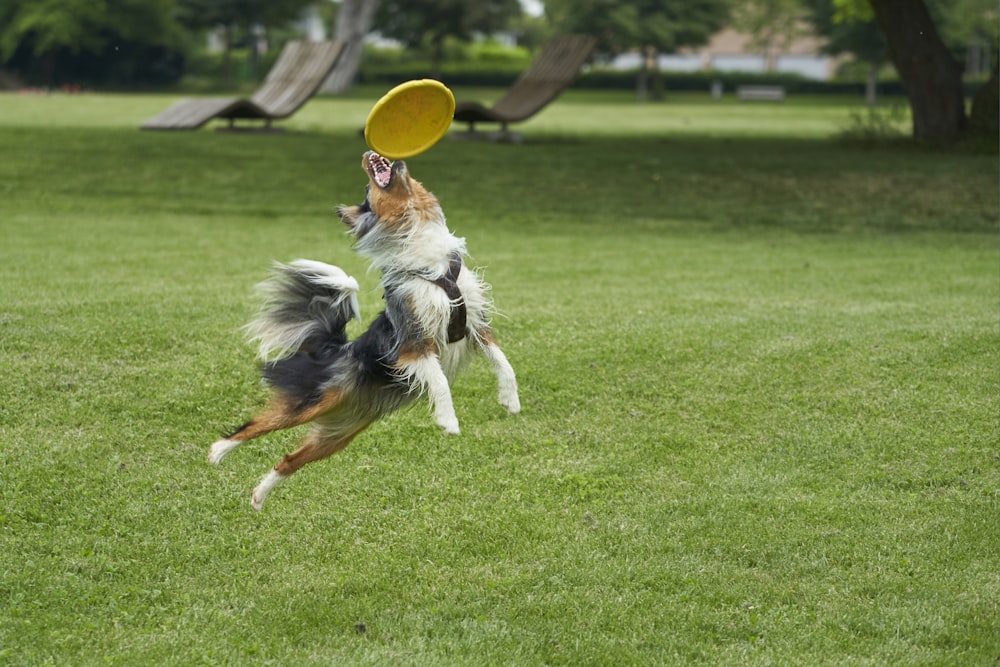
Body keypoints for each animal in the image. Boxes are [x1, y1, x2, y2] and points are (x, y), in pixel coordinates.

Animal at [207, 151, 520, 508]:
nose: (379, 155)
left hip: (339, 433)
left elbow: (504, 363)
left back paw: (259, 496)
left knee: (289, 459)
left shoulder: (476, 325)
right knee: (257, 423)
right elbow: (440, 381)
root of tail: (336, 348)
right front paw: (448, 420)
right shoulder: (413, 342)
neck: (431, 261)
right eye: (367, 190)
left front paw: (510, 400)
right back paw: (218, 451)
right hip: (314, 400)